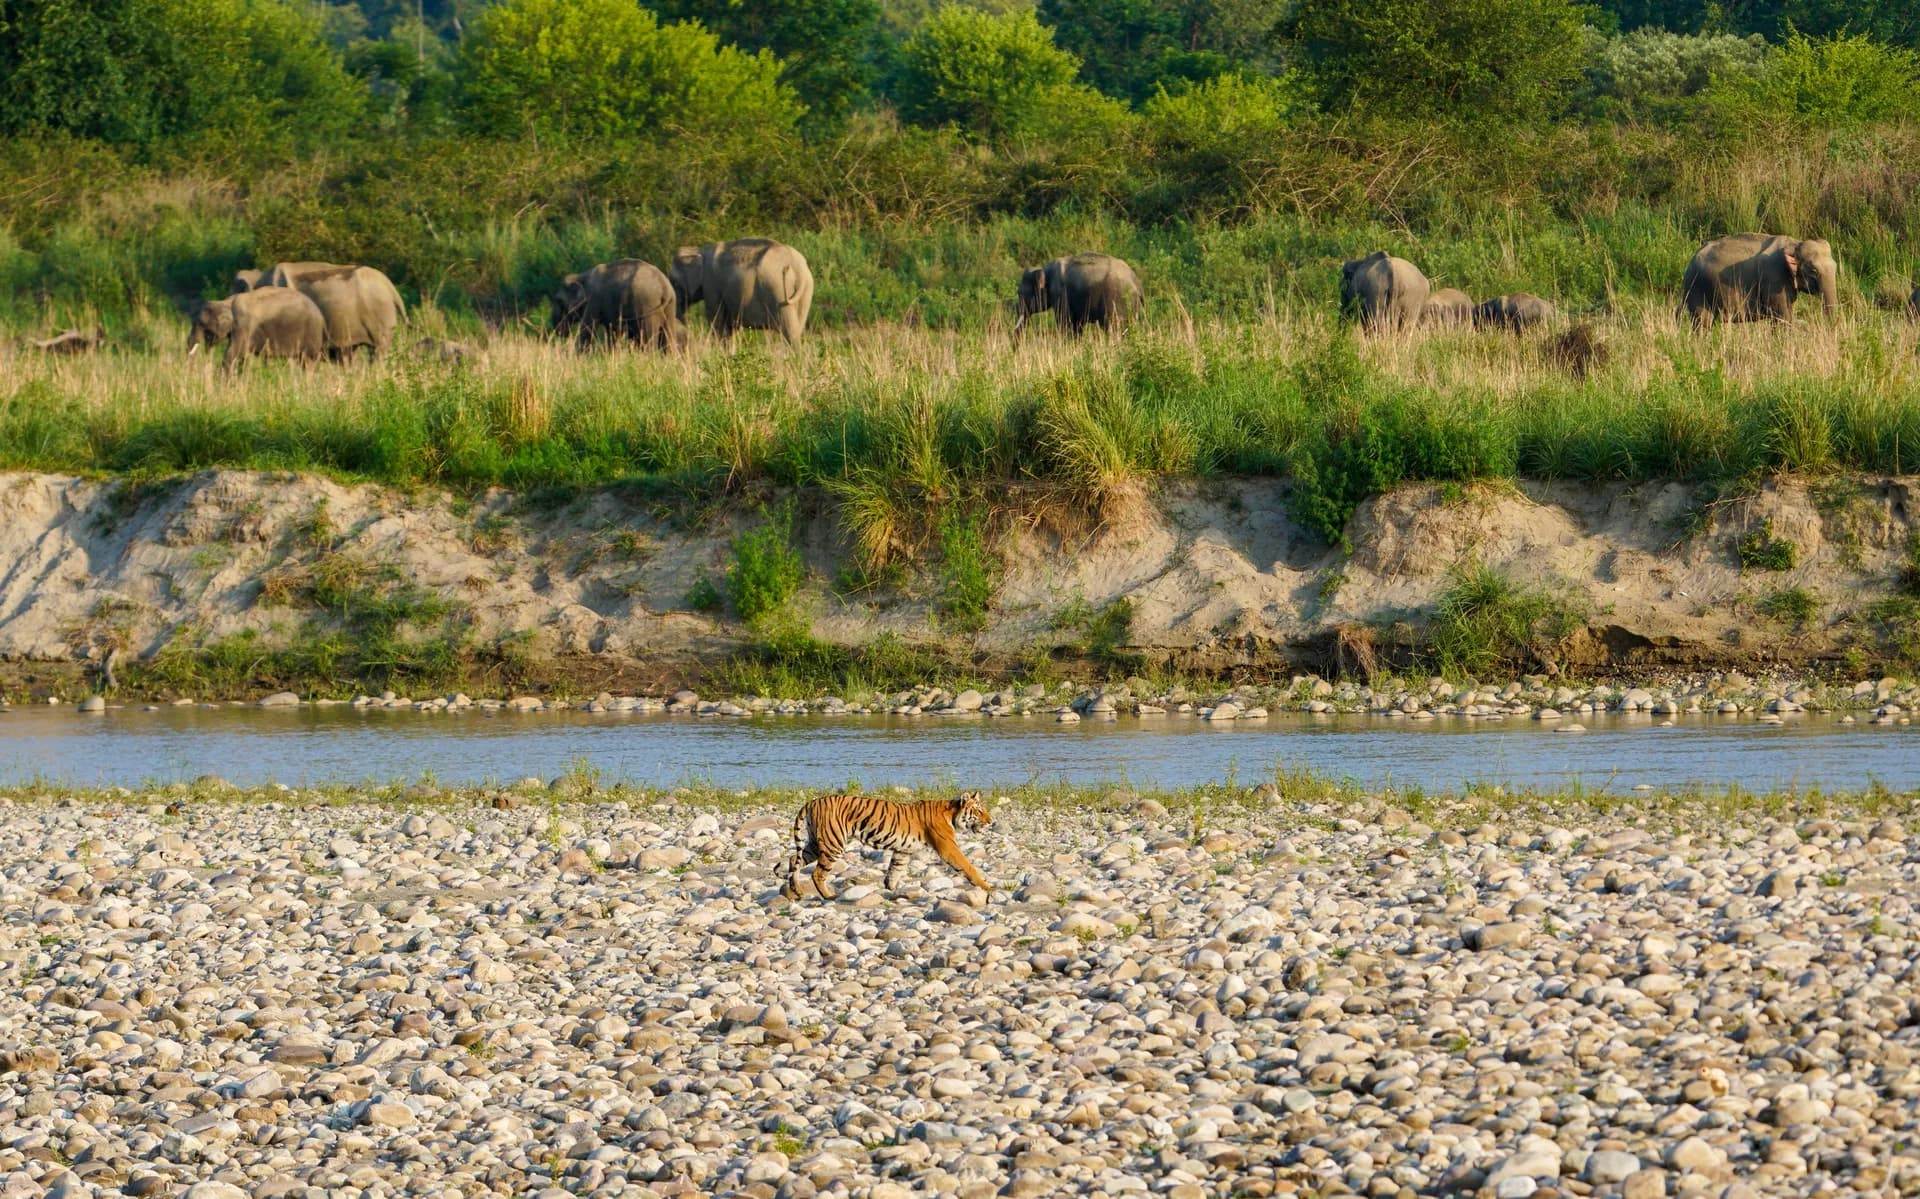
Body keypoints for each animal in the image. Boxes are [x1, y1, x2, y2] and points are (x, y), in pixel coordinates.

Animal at [780, 790, 993, 900]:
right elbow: (968, 866)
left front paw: (893, 892)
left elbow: (894, 873)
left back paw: (796, 889)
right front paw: (987, 888)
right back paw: (828, 896)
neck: (952, 813)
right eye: (979, 811)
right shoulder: (948, 848)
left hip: (817, 843)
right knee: (817, 873)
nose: (991, 821)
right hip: (833, 844)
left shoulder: (903, 851)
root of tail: (811, 802)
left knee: (793, 859)